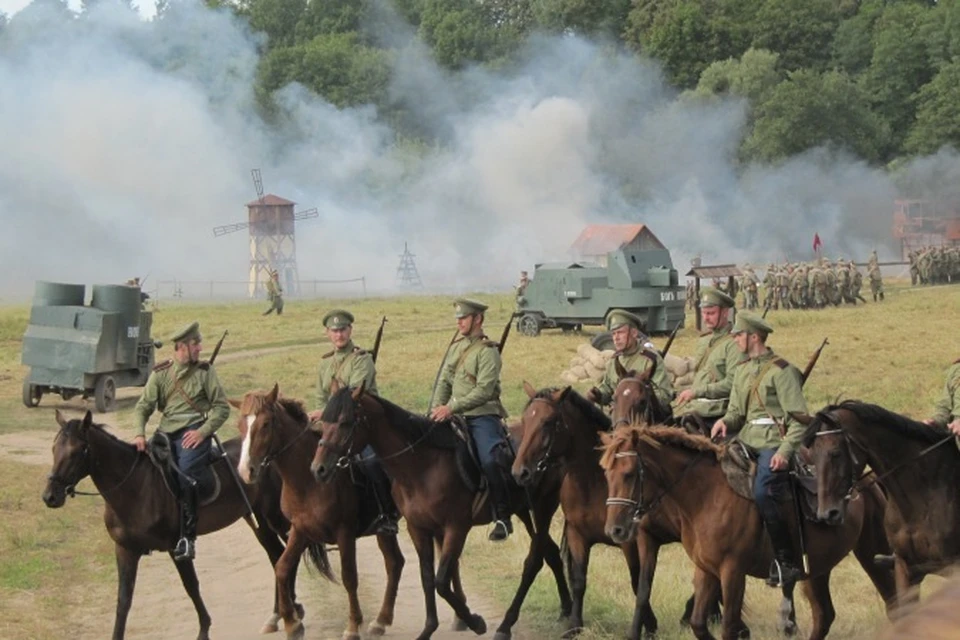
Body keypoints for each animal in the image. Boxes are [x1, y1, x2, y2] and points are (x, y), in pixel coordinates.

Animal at [42, 410, 326, 640]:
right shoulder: (125, 550)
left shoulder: (176, 547)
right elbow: (123, 600)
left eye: (77, 451)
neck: (135, 487)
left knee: (288, 555)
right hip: (258, 521)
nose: (50, 497)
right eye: (54, 448)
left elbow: (191, 586)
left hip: (276, 518)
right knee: (276, 555)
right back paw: (278, 615)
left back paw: (293, 612)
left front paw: (204, 629)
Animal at [237, 384, 408, 640]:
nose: (246, 471)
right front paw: (292, 624)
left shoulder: (344, 533)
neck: (308, 483)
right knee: (395, 563)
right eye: (241, 425)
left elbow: (349, 577)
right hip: (384, 531)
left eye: (266, 423)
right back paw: (380, 621)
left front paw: (352, 626)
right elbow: (282, 568)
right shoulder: (299, 530)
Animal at [312, 384, 572, 640]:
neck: (422, 466)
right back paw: (566, 611)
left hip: (542, 509)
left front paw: (475, 622)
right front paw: (428, 629)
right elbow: (428, 578)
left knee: (536, 560)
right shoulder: (419, 528)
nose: (319, 469)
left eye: (345, 422)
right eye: (324, 421)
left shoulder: (456, 528)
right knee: (551, 553)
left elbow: (442, 581)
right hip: (525, 512)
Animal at [604, 424, 896, 640]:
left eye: (629, 473)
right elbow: (699, 623)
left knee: (893, 602)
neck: (706, 496)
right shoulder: (707, 569)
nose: (614, 529)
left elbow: (728, 627)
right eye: (606, 474)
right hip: (816, 570)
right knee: (824, 616)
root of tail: (866, 481)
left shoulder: (732, 572)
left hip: (872, 554)